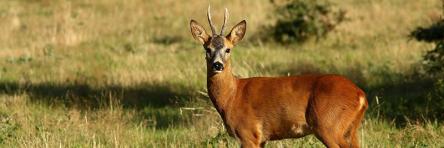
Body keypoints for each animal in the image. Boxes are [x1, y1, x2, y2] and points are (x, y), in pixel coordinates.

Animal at [189, 6, 370, 147]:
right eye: (207, 49)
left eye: (228, 49)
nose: (217, 65)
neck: (232, 97)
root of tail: (361, 95)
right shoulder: (261, 139)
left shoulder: (249, 133)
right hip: (350, 130)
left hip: (328, 126)